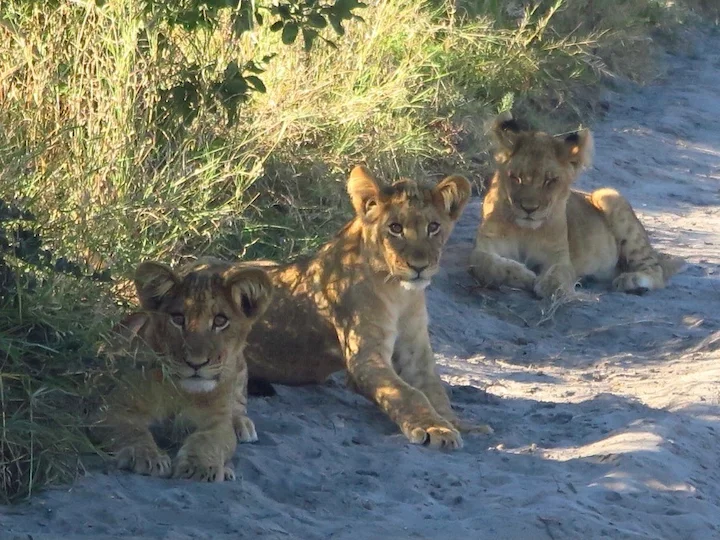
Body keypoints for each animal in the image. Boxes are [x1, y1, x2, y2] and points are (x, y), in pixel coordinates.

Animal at [97, 258, 272, 482]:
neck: (181, 392)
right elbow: (132, 431)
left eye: (220, 321)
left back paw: (242, 427)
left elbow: (207, 441)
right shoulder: (109, 409)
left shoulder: (217, 422)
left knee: (239, 403)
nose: (196, 363)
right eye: (178, 319)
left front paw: (199, 467)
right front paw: (148, 457)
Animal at [244, 165, 491, 451]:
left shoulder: (415, 347)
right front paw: (436, 428)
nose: (419, 266)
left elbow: (435, 390)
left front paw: (459, 423)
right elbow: (408, 394)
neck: (400, 293)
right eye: (395, 228)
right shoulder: (365, 357)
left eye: (433, 227)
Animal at [469, 112, 684, 299]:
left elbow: (561, 272)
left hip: (609, 196)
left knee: (655, 270)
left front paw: (552, 287)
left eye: (550, 181)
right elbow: (483, 263)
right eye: (516, 178)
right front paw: (525, 275)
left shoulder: (559, 256)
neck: (526, 230)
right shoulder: (487, 244)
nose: (529, 209)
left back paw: (632, 281)